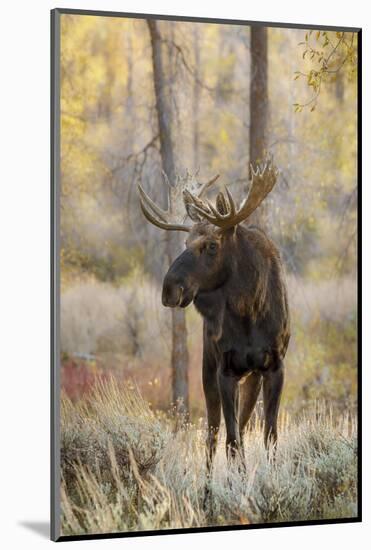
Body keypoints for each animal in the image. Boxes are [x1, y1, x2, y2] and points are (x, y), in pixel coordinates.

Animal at [139, 160, 290, 474]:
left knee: (241, 428)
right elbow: (230, 441)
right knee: (213, 435)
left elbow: (269, 436)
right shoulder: (225, 369)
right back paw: (207, 482)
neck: (250, 312)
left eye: (211, 245)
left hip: (252, 377)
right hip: (208, 369)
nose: (170, 289)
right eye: (185, 241)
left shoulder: (275, 366)